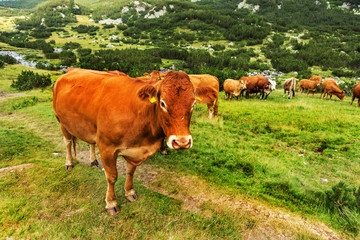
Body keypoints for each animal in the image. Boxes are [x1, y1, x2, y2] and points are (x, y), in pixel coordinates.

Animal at [53, 68, 201, 215]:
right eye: (163, 103)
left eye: (193, 104)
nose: (182, 142)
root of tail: (71, 70)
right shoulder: (106, 147)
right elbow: (112, 177)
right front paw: (111, 203)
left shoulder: (135, 150)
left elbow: (131, 172)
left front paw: (129, 192)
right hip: (62, 122)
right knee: (67, 142)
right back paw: (69, 163)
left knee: (91, 142)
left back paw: (93, 161)